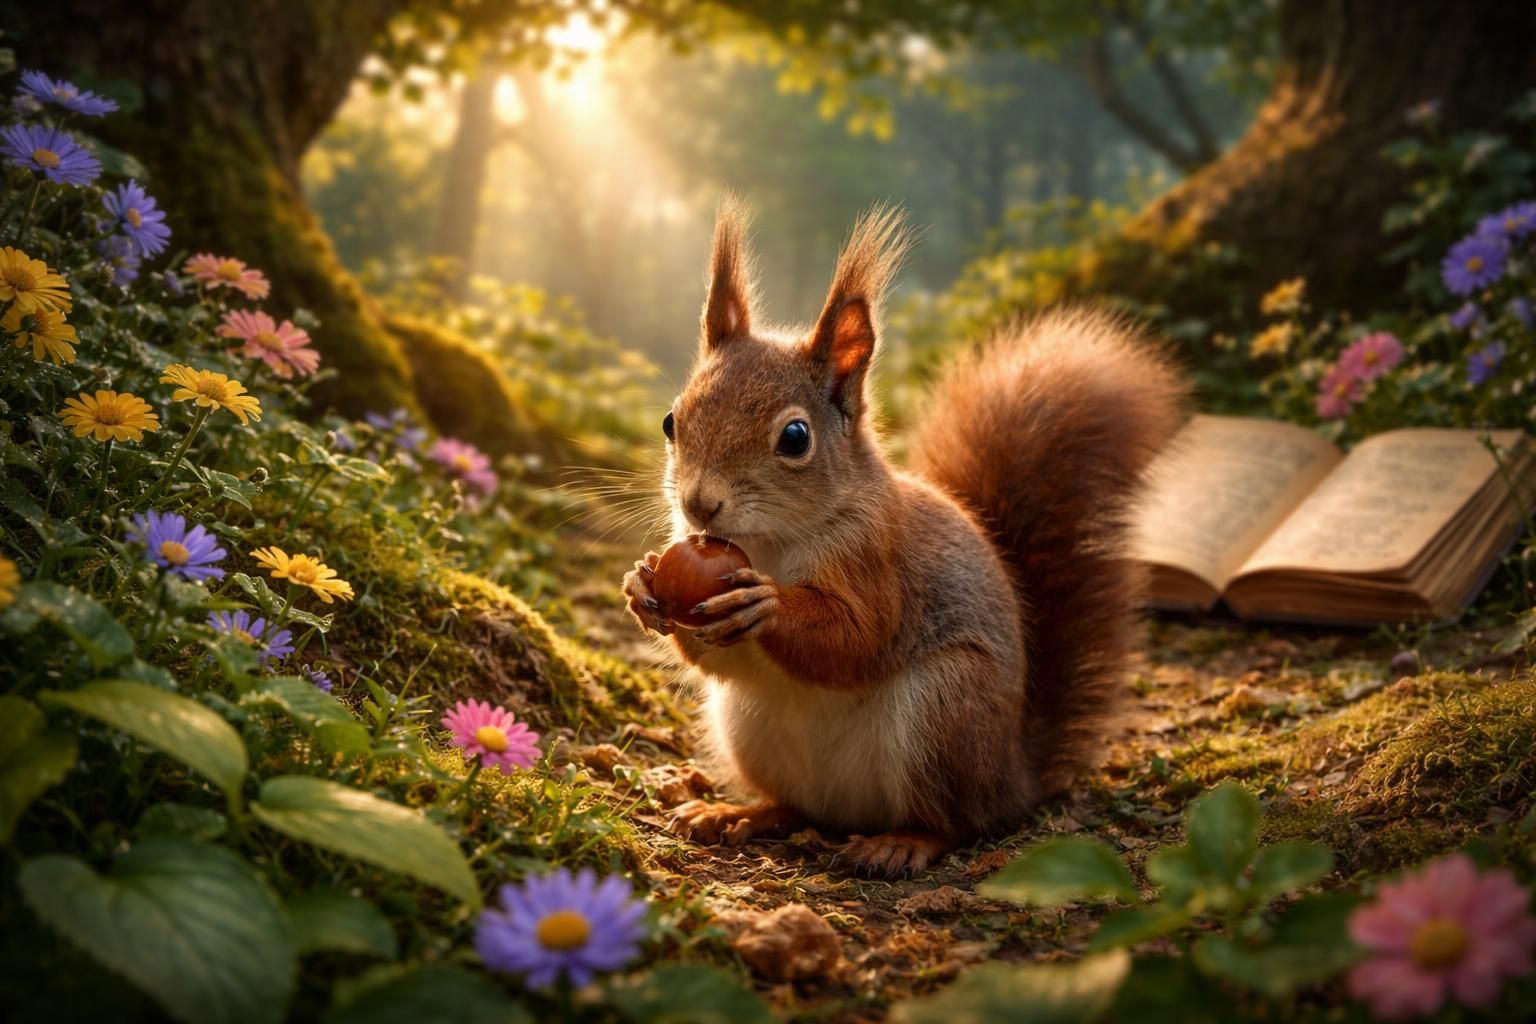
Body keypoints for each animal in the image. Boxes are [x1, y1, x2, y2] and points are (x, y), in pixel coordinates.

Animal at [621, 200, 1186, 876]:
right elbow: (714, 656)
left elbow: (857, 639)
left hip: (946, 711)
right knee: (795, 806)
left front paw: (766, 605)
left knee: (956, 823)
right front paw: (642, 586)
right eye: (671, 420)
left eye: (795, 438)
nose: (699, 504)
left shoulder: (877, 558)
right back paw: (740, 812)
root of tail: (1013, 776)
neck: (769, 543)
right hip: (749, 729)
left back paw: (902, 842)